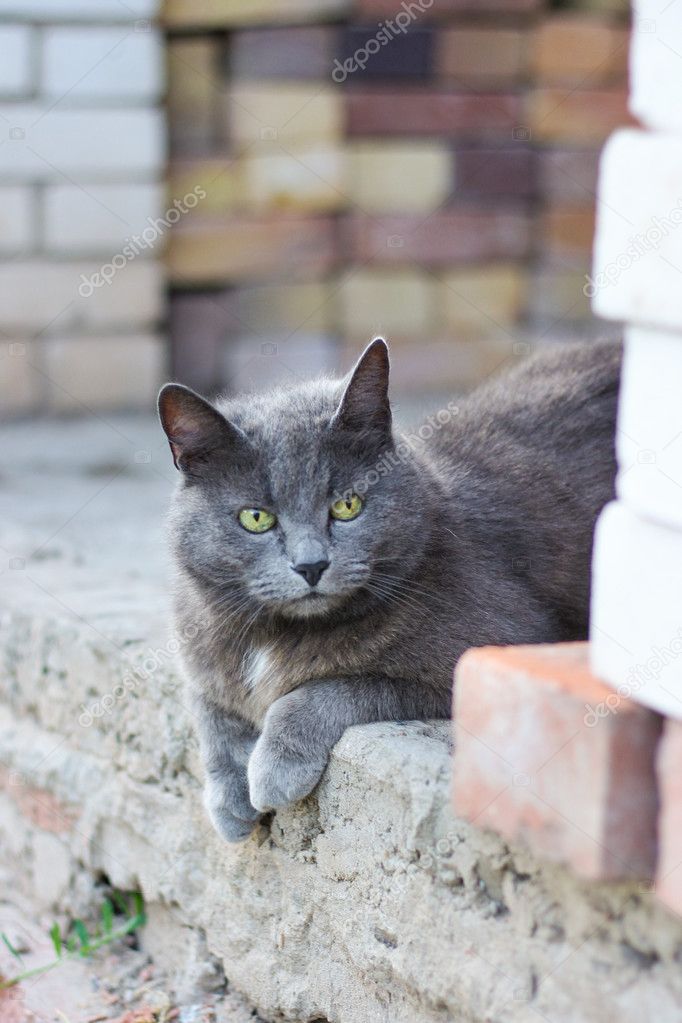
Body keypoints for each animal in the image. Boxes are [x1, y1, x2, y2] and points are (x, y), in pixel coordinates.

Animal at [157, 339, 621, 842]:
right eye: (255, 518)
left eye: (347, 505)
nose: (311, 564)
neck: (276, 633)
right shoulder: (200, 643)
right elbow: (206, 707)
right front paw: (227, 800)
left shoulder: (498, 652)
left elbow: (333, 687)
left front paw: (273, 770)